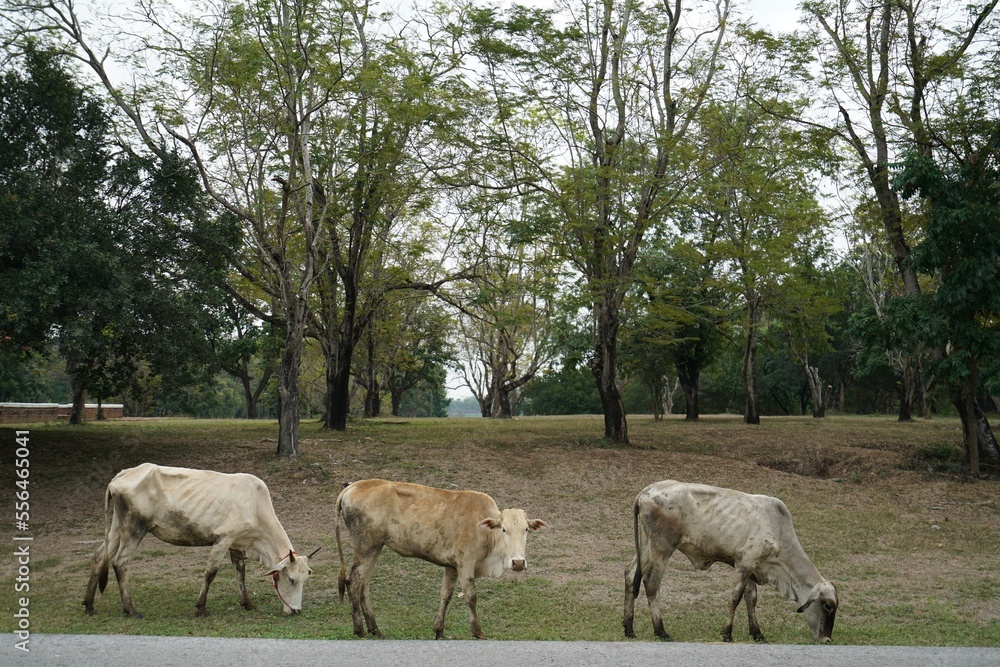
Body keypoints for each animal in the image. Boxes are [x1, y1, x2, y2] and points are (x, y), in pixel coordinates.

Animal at [83, 463, 317, 618]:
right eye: (291, 579)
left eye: (306, 579)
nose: (296, 610)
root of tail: (122, 475)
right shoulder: (223, 539)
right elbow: (210, 574)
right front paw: (201, 608)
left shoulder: (236, 544)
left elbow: (240, 574)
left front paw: (247, 603)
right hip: (134, 529)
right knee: (120, 563)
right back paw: (130, 609)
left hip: (117, 528)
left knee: (99, 557)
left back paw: (89, 605)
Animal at [335, 479, 549, 639]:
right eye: (503, 529)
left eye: (526, 529)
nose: (518, 563)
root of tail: (352, 487)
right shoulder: (465, 564)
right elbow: (471, 597)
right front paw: (478, 633)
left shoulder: (451, 566)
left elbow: (445, 595)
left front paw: (439, 631)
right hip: (365, 547)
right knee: (353, 583)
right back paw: (360, 630)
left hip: (375, 548)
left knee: (364, 586)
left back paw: (375, 629)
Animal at [623, 480, 838, 643]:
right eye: (828, 606)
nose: (827, 639)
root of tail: (646, 491)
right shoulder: (744, 564)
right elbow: (735, 598)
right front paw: (726, 633)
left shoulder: (752, 567)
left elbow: (751, 599)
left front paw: (757, 634)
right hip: (662, 548)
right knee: (651, 584)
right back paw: (661, 631)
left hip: (645, 547)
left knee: (630, 576)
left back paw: (629, 628)